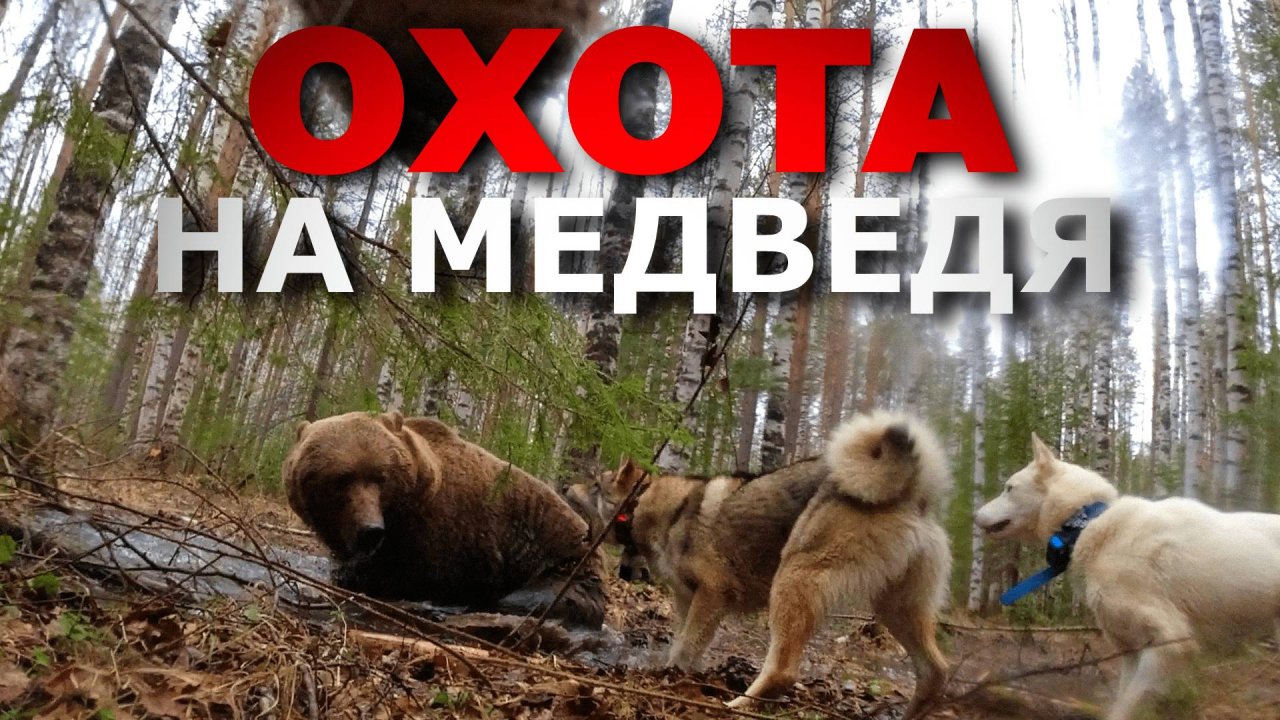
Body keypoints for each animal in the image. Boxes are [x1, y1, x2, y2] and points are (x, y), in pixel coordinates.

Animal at [283, 410, 606, 628]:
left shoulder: (443, 534)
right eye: (342, 479)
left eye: (381, 477)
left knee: (540, 597)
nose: (370, 530)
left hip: (566, 565)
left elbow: (413, 577)